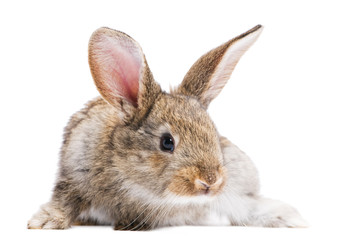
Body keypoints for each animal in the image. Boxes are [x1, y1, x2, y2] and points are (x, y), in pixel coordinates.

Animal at [27, 24, 306, 231]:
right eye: (167, 142)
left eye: (215, 136)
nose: (210, 181)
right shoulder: (73, 175)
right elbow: (64, 202)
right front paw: (44, 222)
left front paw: (292, 219)